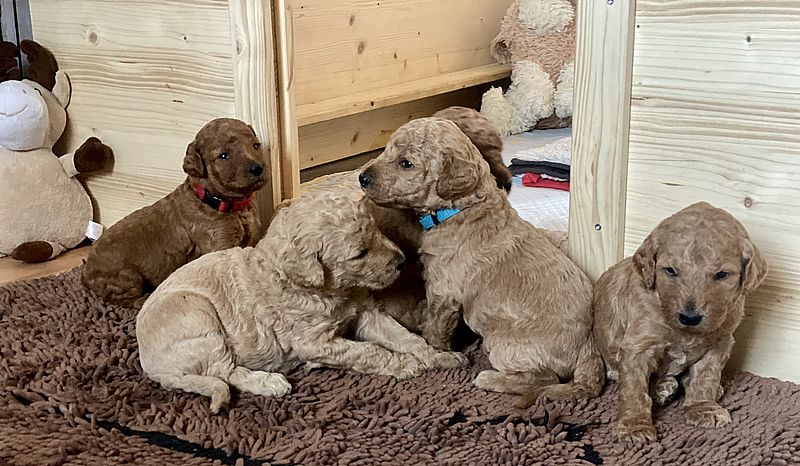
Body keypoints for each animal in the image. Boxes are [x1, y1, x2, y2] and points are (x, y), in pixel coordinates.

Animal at [82, 118, 268, 306]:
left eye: (256, 145)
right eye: (223, 155)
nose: (257, 168)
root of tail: (85, 271)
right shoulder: (219, 243)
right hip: (126, 277)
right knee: (126, 299)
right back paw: (146, 298)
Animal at [136, 192, 468, 413]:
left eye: (376, 231)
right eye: (359, 253)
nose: (400, 262)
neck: (328, 290)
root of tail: (152, 366)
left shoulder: (365, 313)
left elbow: (404, 336)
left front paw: (438, 356)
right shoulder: (312, 341)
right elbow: (367, 351)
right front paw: (405, 364)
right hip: (196, 314)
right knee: (224, 371)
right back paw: (269, 382)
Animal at [358, 117, 603, 404]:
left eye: (406, 163)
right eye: (386, 149)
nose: (362, 177)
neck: (460, 208)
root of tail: (589, 347)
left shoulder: (444, 291)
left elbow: (436, 327)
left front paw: (437, 349)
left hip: (504, 343)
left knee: (543, 378)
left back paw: (489, 378)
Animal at [593, 202, 767, 443]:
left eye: (722, 274)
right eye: (670, 270)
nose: (690, 317)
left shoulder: (719, 343)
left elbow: (706, 377)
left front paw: (703, 407)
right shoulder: (638, 345)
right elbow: (634, 387)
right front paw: (634, 426)